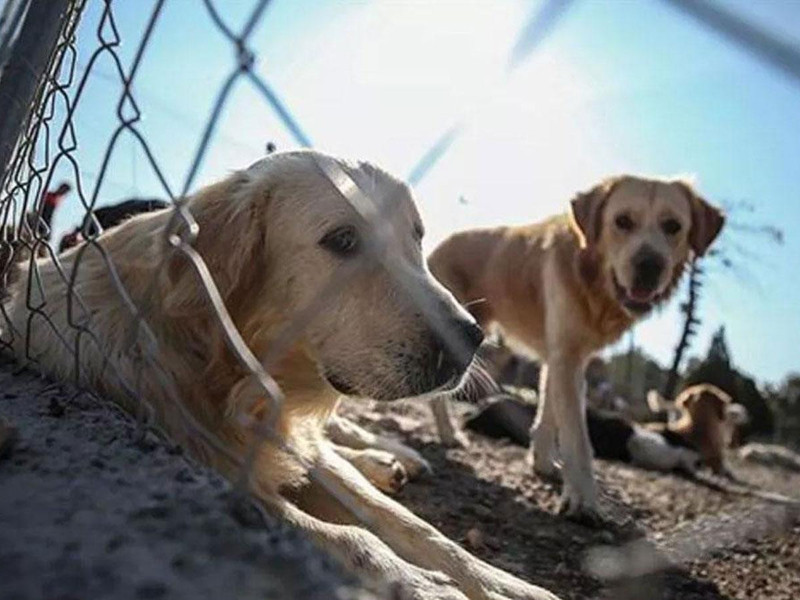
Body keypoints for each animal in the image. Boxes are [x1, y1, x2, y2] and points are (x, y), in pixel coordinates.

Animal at [3, 150, 560, 600]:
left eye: (416, 239)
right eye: (343, 240)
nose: (471, 339)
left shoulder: (296, 440)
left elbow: (411, 526)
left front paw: (503, 583)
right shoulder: (208, 464)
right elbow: (351, 537)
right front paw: (420, 583)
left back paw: (389, 457)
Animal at [432, 173, 724, 520]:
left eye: (673, 226)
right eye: (622, 221)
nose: (649, 267)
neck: (593, 281)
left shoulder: (562, 357)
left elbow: (548, 414)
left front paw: (543, 464)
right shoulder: (566, 358)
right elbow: (577, 436)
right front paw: (583, 498)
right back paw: (448, 434)